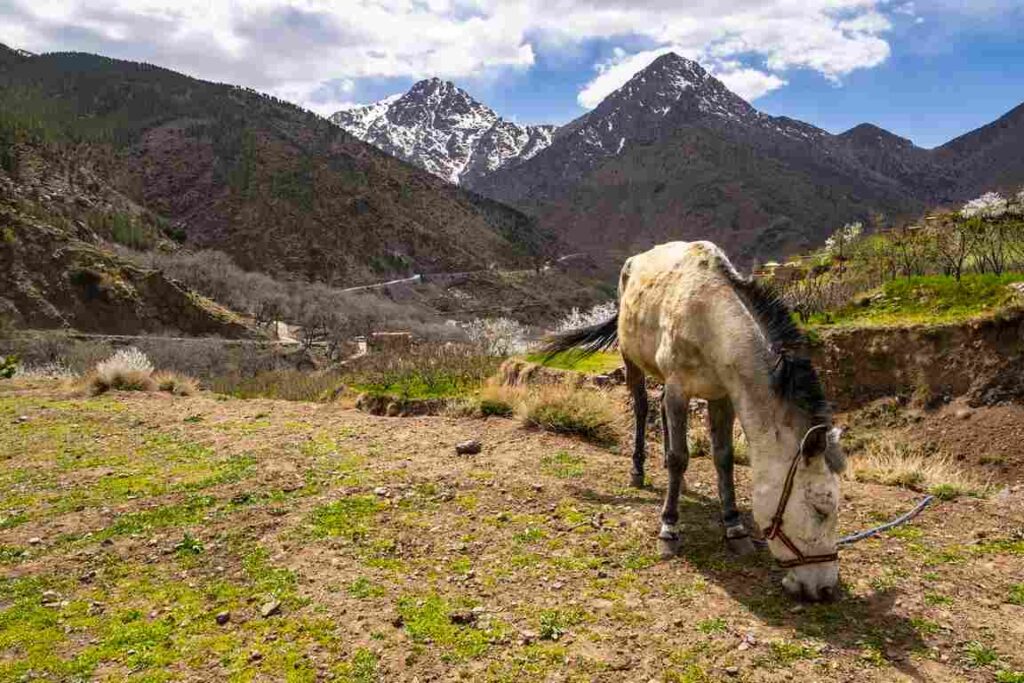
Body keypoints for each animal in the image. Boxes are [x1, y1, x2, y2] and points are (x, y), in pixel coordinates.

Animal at [548, 241, 843, 602]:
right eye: (820, 510)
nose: (825, 588)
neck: (711, 319)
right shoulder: (679, 389)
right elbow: (680, 457)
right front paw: (668, 529)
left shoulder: (723, 396)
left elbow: (724, 458)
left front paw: (734, 527)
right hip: (632, 361)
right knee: (643, 407)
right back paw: (638, 470)